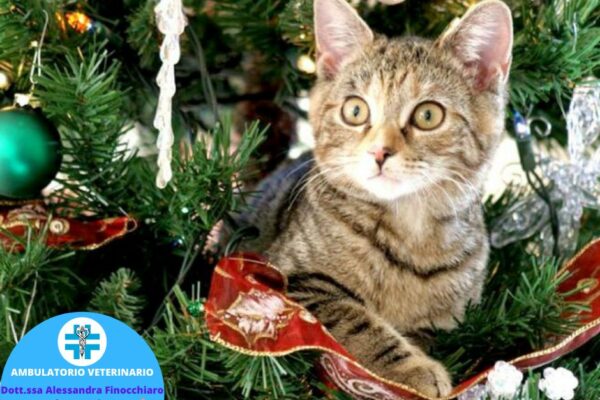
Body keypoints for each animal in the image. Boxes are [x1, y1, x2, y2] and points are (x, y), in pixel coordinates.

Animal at [239, 0, 510, 394]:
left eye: (428, 115)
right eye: (355, 110)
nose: (379, 152)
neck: (410, 233)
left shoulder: (453, 320)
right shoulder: (287, 278)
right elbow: (355, 320)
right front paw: (412, 369)